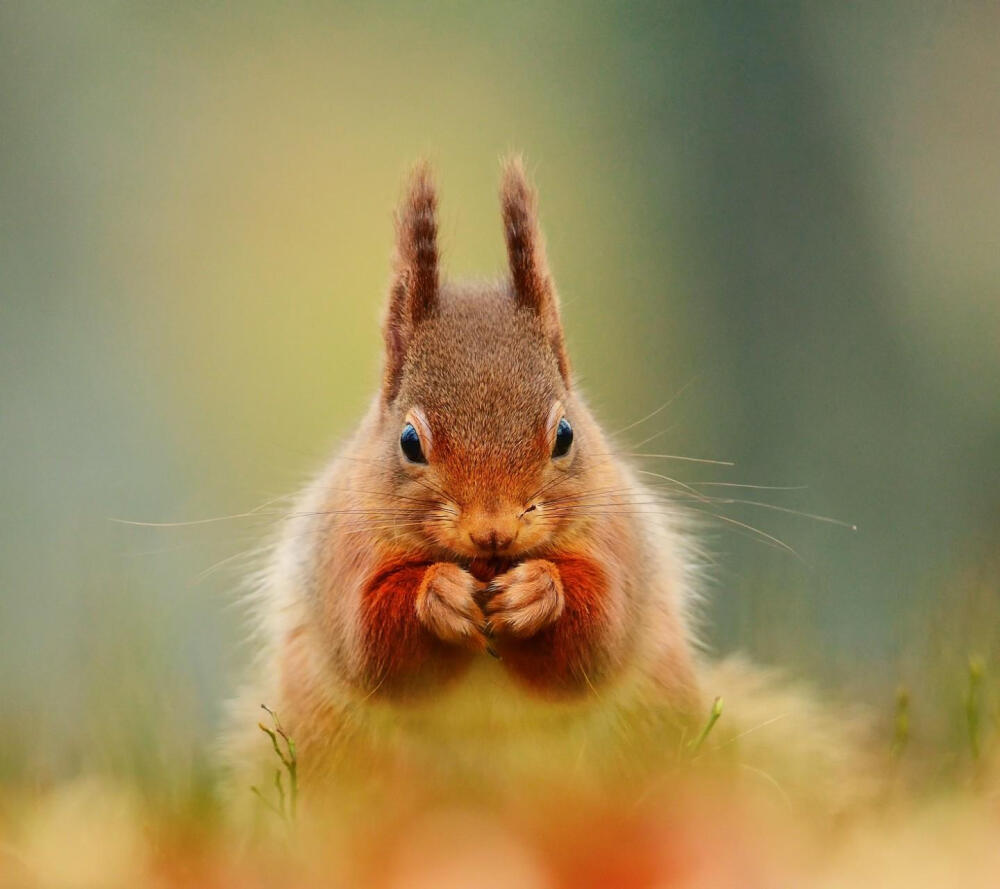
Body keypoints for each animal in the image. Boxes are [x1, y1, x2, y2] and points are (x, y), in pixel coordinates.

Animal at [225, 158, 876, 812]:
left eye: (564, 434)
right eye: (409, 442)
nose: (493, 532)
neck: (487, 567)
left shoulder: (618, 544)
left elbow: (599, 632)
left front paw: (537, 592)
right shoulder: (342, 557)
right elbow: (369, 643)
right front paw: (440, 594)